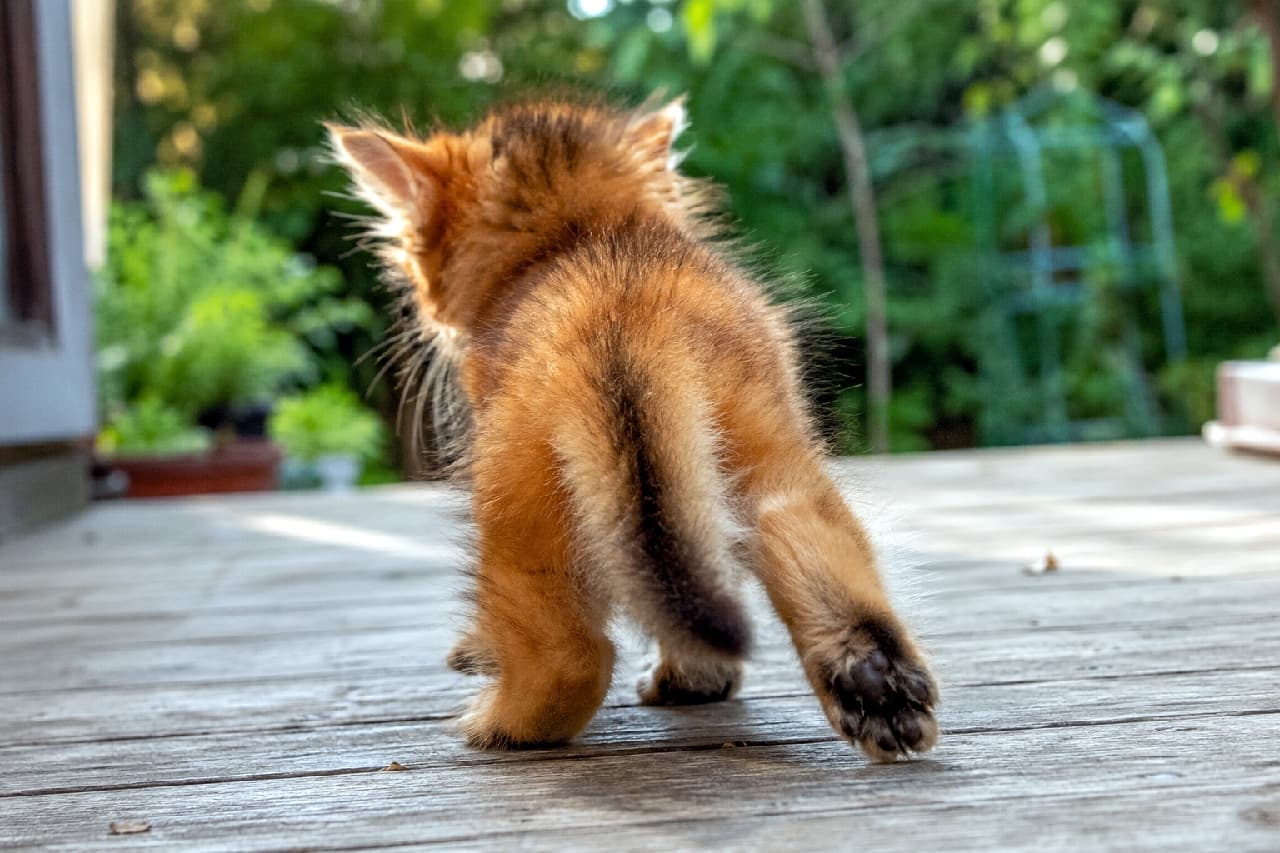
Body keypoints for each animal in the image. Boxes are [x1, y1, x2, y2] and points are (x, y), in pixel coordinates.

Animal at [328, 96, 938, 761]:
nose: (428, 311)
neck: (587, 233)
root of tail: (621, 320)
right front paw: (701, 682)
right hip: (759, 459)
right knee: (801, 549)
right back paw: (877, 693)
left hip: (516, 506)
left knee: (574, 656)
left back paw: (496, 725)